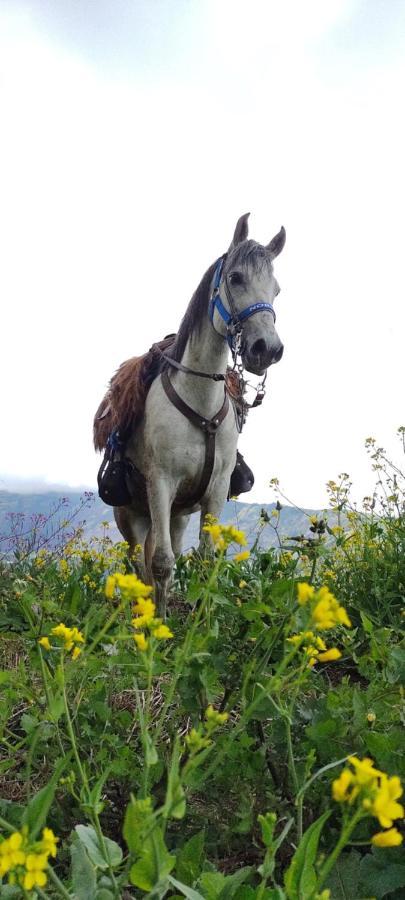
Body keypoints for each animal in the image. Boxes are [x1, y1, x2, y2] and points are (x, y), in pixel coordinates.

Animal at [96, 214, 284, 616]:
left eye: (276, 290)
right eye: (236, 278)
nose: (267, 349)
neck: (200, 403)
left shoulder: (214, 491)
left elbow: (206, 560)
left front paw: (202, 619)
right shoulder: (161, 484)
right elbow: (162, 563)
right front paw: (160, 626)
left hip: (177, 515)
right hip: (130, 515)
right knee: (139, 564)